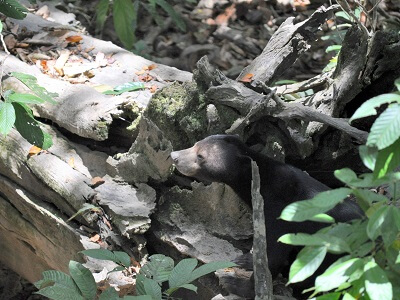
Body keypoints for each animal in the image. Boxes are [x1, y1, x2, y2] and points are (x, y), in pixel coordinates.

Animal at [169, 135, 362, 288]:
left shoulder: (281, 213)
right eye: (195, 143)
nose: (174, 156)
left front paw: (235, 284)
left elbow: (273, 255)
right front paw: (246, 259)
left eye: (200, 156)